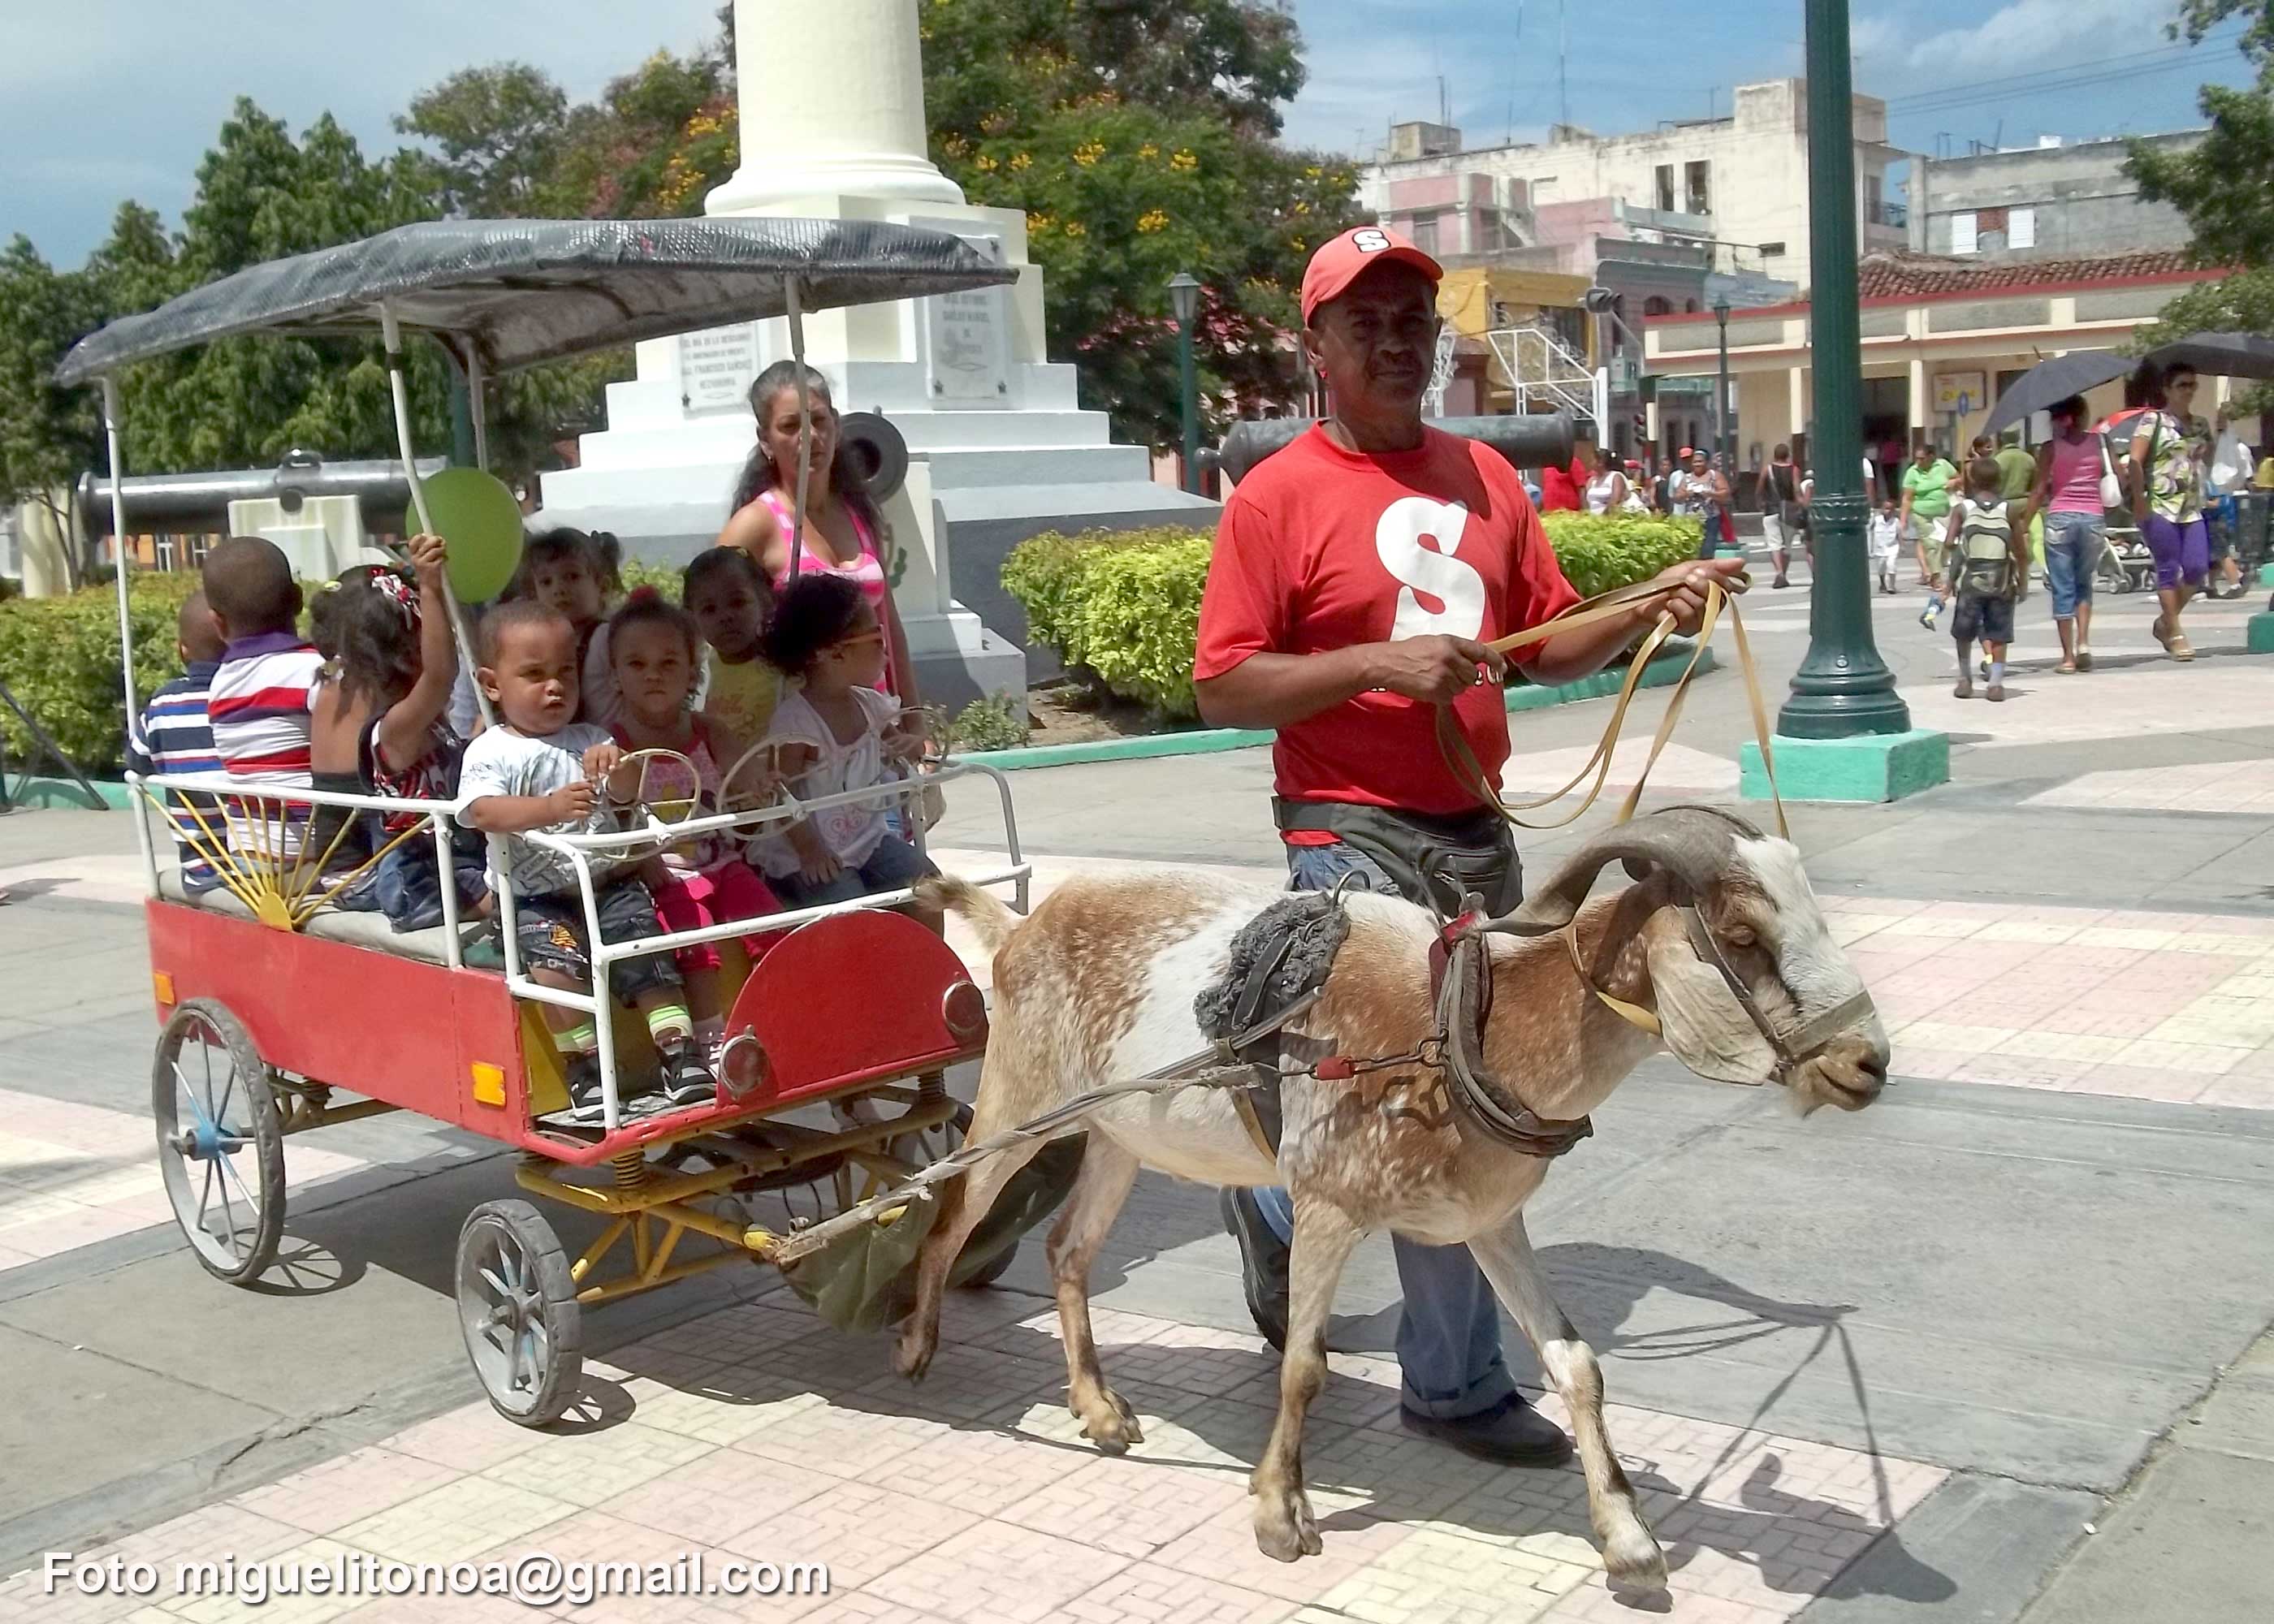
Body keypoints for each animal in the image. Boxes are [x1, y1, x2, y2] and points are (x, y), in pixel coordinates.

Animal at [896, 805, 1891, 1592]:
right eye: (1742, 936)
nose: (1867, 1063)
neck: (1461, 1030)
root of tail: (1019, 922)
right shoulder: (1328, 1199)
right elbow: (1303, 1364)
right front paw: (1280, 1515)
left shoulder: (1489, 1218)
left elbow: (1575, 1361)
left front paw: (1630, 1543)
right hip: (1021, 1097)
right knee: (949, 1212)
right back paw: (913, 1346)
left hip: (1116, 1135)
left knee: (1068, 1248)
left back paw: (1100, 1412)